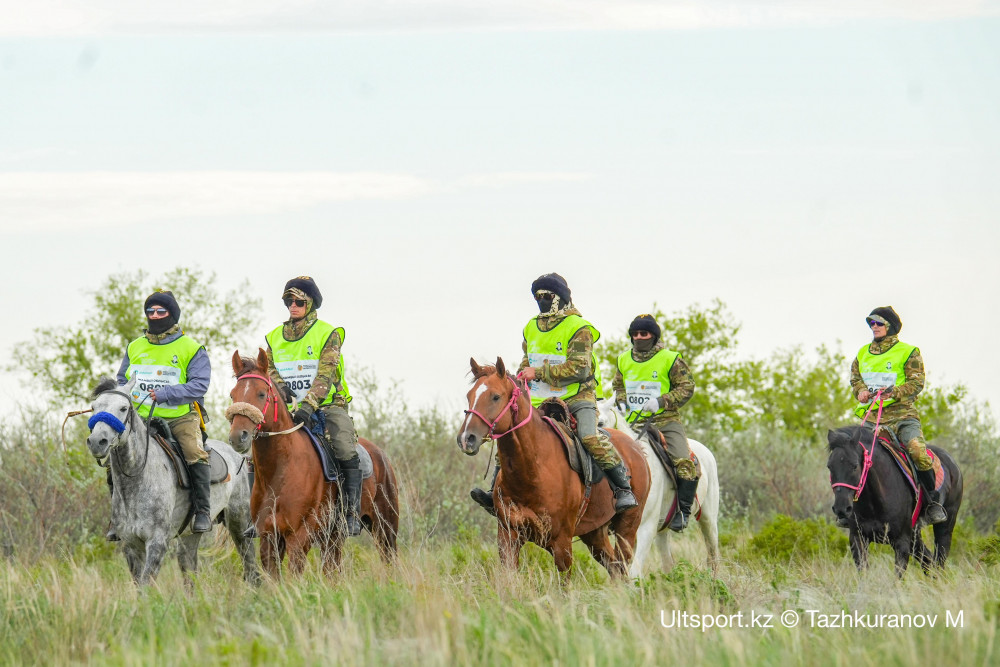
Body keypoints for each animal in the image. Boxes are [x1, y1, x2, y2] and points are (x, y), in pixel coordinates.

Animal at [85, 378, 260, 588]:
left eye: (123, 408)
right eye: (94, 407)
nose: (97, 442)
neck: (139, 479)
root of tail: (240, 456)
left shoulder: (157, 542)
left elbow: (146, 585)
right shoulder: (131, 545)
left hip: (239, 524)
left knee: (251, 569)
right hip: (190, 537)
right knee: (190, 576)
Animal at [227, 350, 398, 580]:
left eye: (261, 394)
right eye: (233, 395)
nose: (239, 437)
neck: (280, 471)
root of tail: (381, 455)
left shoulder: (299, 536)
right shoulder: (268, 537)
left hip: (385, 528)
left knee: (389, 560)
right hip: (333, 537)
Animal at [458, 354, 652, 580]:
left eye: (496, 397)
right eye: (469, 395)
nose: (466, 439)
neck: (531, 472)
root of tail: (637, 448)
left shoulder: (561, 544)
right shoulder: (508, 537)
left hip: (627, 528)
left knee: (622, 565)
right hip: (594, 533)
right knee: (614, 568)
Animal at [592, 400, 720, 576]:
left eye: (601, 423)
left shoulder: (645, 526)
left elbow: (634, 572)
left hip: (708, 520)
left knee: (713, 555)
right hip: (662, 530)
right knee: (668, 563)